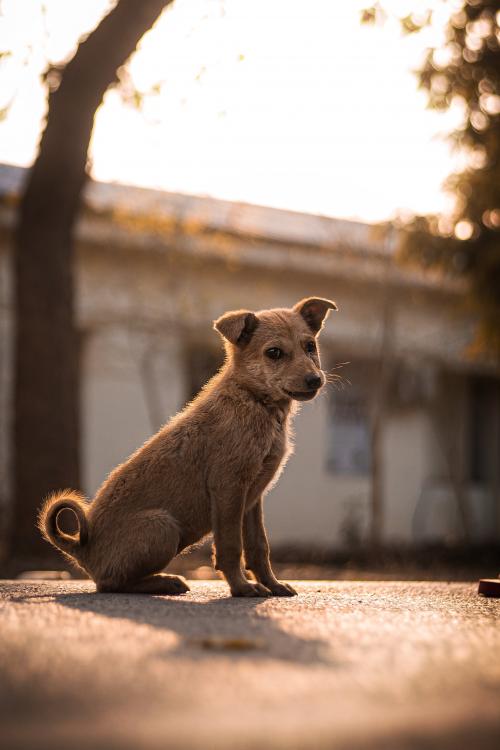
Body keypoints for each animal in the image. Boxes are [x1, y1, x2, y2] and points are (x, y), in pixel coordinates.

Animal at [38, 296, 336, 596]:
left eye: (310, 346)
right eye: (274, 353)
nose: (315, 380)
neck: (255, 402)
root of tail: (82, 550)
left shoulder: (253, 497)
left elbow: (258, 547)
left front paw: (272, 584)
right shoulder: (228, 488)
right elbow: (230, 546)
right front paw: (241, 587)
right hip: (163, 526)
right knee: (109, 583)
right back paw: (165, 581)